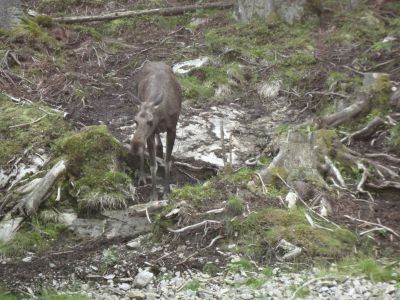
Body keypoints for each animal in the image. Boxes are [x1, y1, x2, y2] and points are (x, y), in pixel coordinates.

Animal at [130, 61, 182, 202]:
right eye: (135, 121)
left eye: (150, 121)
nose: (135, 145)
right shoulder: (150, 134)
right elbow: (153, 165)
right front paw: (154, 196)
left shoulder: (172, 129)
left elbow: (168, 160)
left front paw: (166, 191)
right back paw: (142, 176)